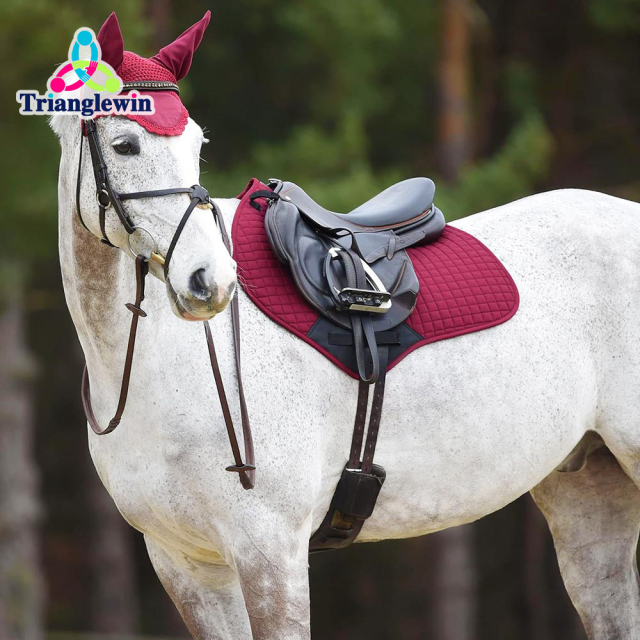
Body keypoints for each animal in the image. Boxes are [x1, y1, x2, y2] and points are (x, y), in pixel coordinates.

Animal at [51, 28, 640, 640]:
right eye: (125, 145)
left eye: (195, 143)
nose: (209, 281)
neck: (152, 364)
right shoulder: (187, 565)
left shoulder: (270, 554)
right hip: (587, 490)